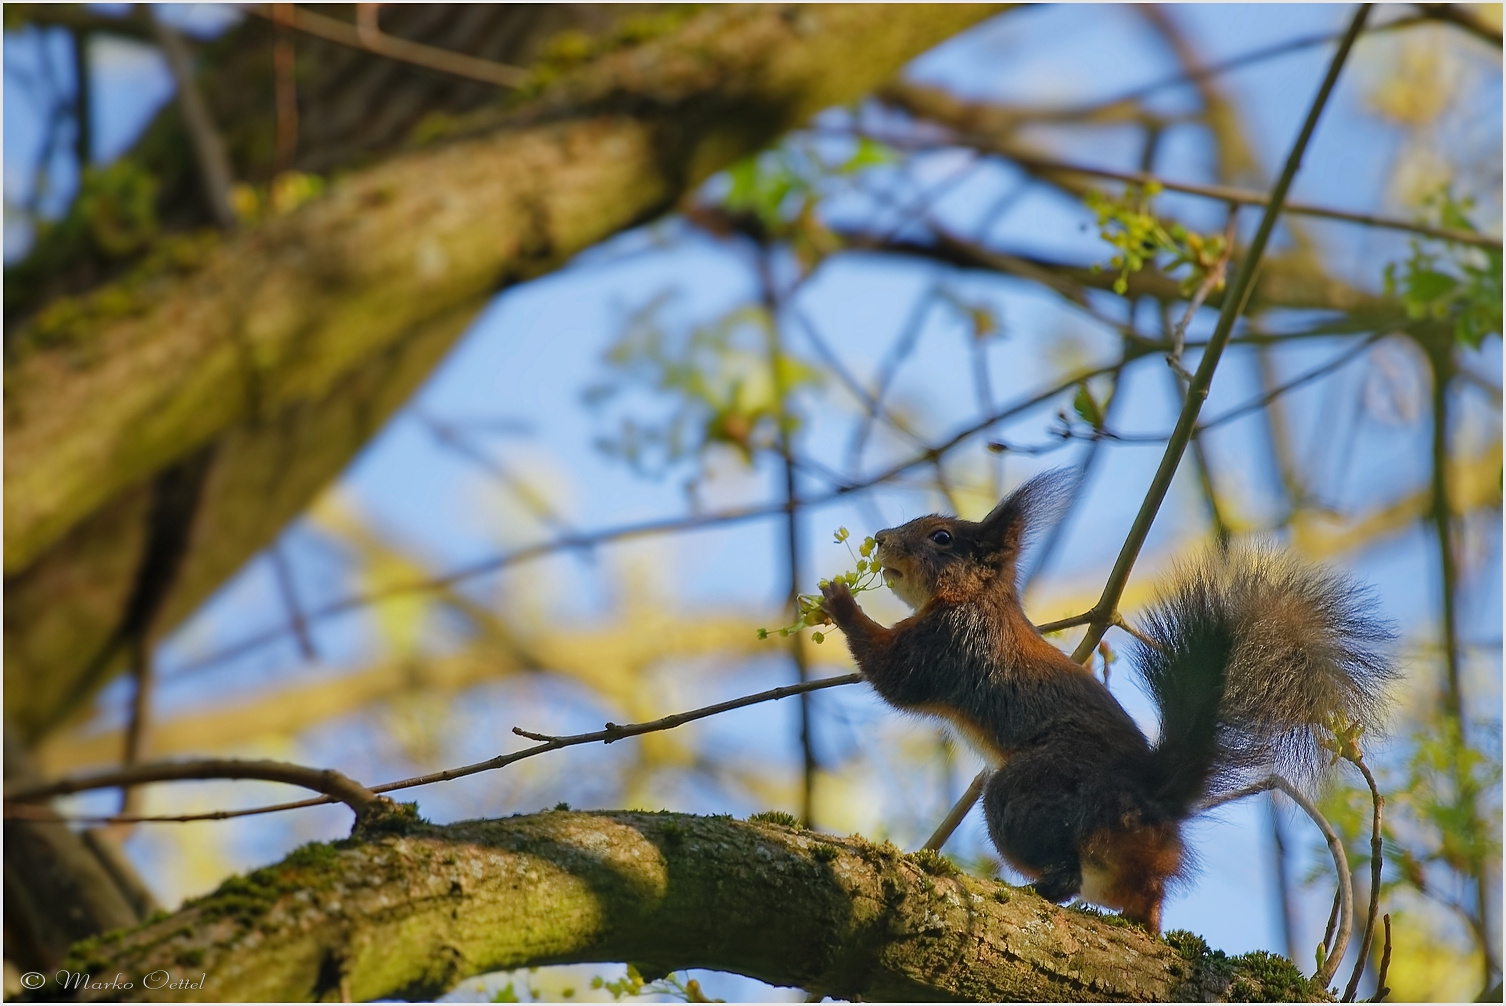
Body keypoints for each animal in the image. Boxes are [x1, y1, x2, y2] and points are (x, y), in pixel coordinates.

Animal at [819, 466, 1391, 933]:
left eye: (942, 537)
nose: (881, 539)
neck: (975, 598)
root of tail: (1153, 797)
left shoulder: (950, 643)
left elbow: (895, 678)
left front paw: (838, 601)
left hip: (1030, 791)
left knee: (1065, 872)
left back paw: (1037, 888)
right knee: (1142, 891)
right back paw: (1146, 921)